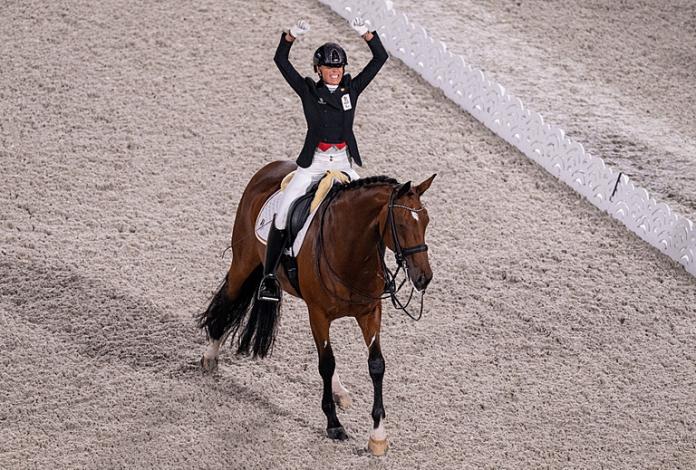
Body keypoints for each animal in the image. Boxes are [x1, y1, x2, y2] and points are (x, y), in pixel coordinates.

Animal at [197, 162, 436, 456]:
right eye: (401, 224)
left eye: (426, 221)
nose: (424, 277)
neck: (352, 251)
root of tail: (271, 167)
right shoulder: (319, 314)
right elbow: (327, 363)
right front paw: (334, 424)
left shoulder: (370, 312)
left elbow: (376, 365)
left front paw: (378, 436)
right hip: (244, 261)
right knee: (228, 300)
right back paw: (210, 355)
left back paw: (340, 391)